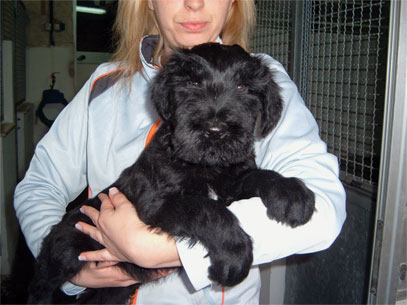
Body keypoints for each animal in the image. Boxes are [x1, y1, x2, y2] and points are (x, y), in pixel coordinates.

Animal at [27, 43, 316, 304]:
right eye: (192, 83)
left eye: (243, 88)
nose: (215, 131)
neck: (207, 166)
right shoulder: (158, 203)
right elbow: (209, 211)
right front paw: (234, 256)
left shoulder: (233, 183)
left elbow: (257, 176)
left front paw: (291, 192)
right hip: (65, 250)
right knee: (41, 282)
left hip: (112, 291)